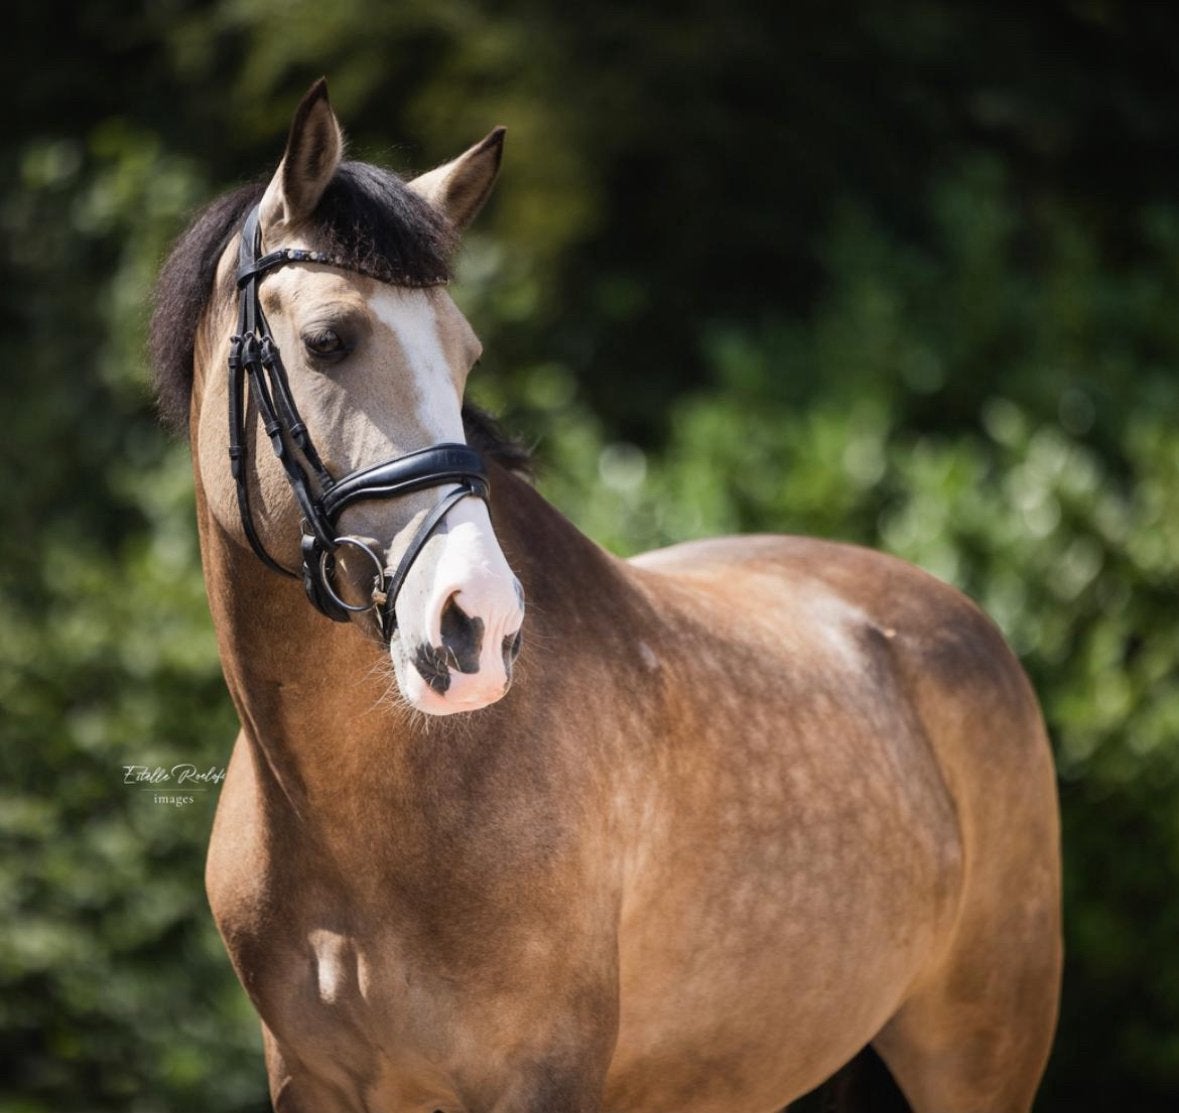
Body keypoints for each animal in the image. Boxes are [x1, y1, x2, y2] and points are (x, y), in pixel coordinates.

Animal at [150, 79, 1061, 1113]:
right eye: (327, 340)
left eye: (466, 356)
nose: (479, 624)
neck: (358, 818)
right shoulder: (309, 1082)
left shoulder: (542, 1075)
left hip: (977, 1056)